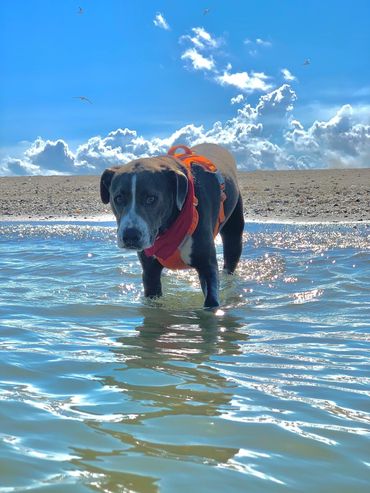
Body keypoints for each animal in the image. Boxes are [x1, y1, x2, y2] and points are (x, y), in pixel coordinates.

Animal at [99, 140, 243, 308]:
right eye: (118, 198)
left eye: (151, 198)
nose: (130, 236)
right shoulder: (150, 271)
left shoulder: (207, 267)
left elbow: (211, 300)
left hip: (234, 233)